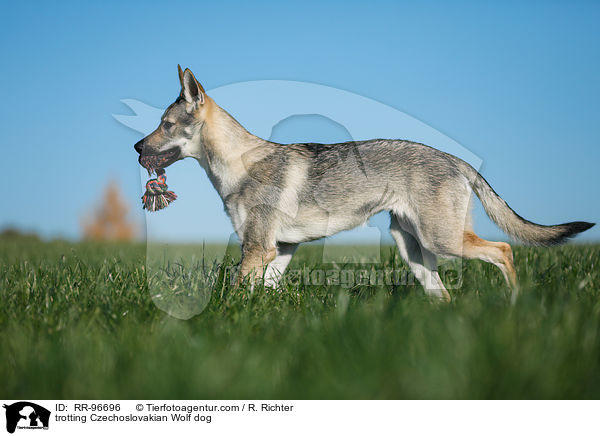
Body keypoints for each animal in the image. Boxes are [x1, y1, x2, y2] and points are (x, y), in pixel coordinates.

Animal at [134, 65, 592, 304]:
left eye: (165, 125)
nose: (136, 146)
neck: (238, 164)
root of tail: (453, 158)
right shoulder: (279, 250)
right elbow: (260, 295)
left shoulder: (258, 248)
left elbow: (231, 293)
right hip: (415, 253)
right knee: (446, 296)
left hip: (445, 242)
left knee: (504, 250)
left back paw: (515, 303)